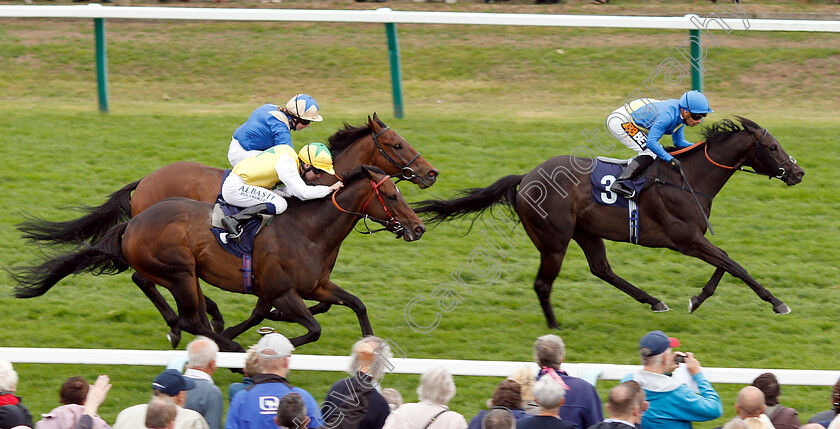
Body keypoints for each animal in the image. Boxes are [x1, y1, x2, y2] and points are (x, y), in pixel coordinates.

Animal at [416, 117, 804, 328]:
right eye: (772, 147)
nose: (798, 172)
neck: (688, 179)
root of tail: (526, 177)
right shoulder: (686, 239)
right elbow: (733, 264)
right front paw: (776, 302)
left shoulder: (693, 239)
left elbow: (724, 262)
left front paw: (696, 299)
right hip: (554, 240)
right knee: (543, 284)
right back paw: (554, 328)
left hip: (586, 232)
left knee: (601, 269)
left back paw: (653, 301)